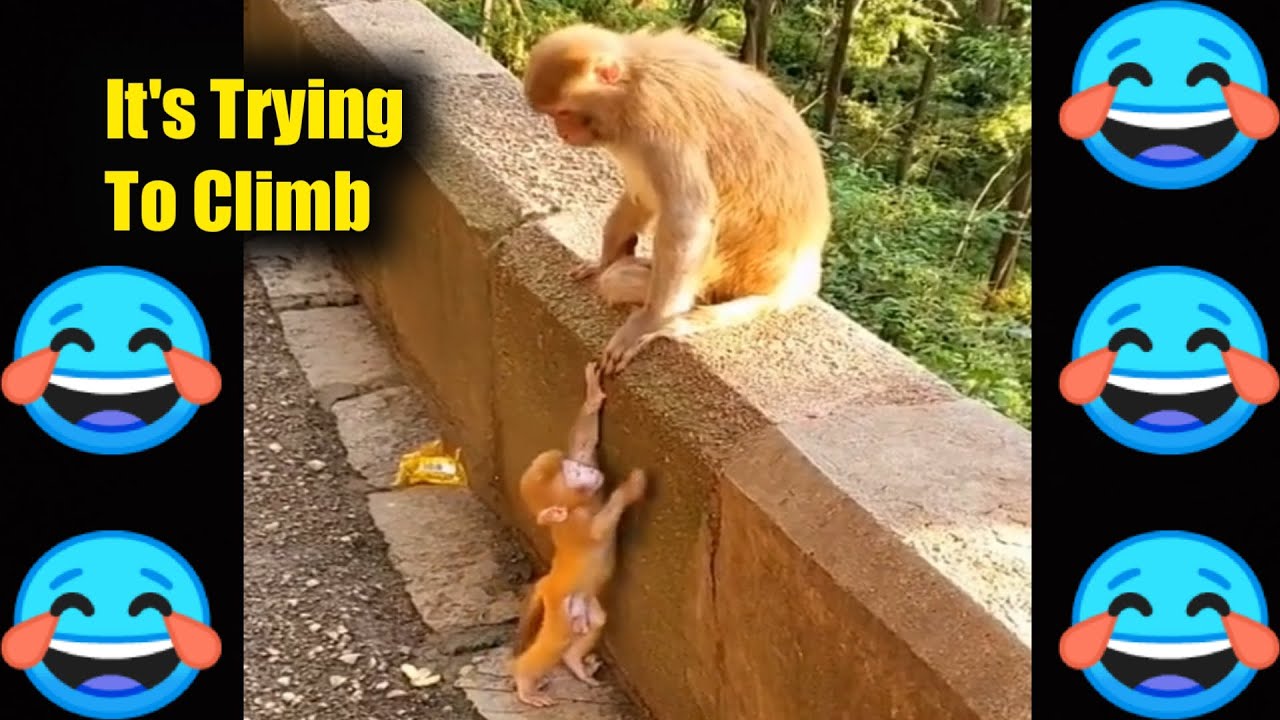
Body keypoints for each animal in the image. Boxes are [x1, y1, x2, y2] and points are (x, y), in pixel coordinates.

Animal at [511, 361, 647, 707]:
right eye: (573, 473)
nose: (587, 472)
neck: (579, 504)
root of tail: (548, 581)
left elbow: (585, 442)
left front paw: (593, 394)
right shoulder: (577, 522)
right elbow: (599, 529)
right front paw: (631, 488)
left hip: (580, 605)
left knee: (596, 622)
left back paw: (574, 662)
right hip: (559, 606)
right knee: (553, 642)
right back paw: (523, 681)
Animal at [523, 24, 832, 375]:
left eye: (563, 112)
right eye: (554, 115)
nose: (561, 132)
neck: (633, 80)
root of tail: (802, 279)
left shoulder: (656, 123)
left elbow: (688, 219)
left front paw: (649, 321)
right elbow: (643, 195)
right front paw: (605, 257)